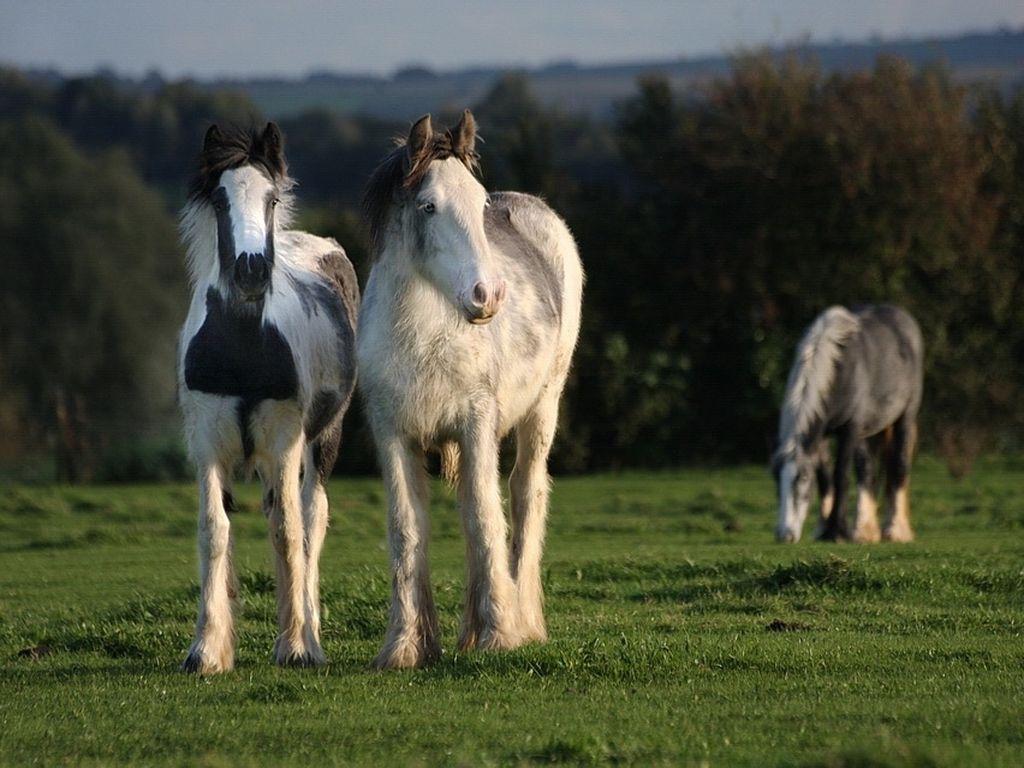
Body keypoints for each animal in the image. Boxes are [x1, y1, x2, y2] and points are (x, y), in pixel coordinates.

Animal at [179, 121, 360, 671]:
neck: (241, 348)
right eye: (219, 200)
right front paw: (206, 649)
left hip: (320, 441)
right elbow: (214, 529)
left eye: (273, 198)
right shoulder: (207, 442)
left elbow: (287, 531)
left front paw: (296, 645)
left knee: (310, 520)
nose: (251, 271)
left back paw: (312, 635)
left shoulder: (283, 439)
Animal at [358, 111, 585, 671]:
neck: (421, 335)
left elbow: (485, 519)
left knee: (525, 494)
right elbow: (406, 530)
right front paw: (405, 646)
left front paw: (499, 635)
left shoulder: (477, 421)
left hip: (542, 409)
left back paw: (524, 618)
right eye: (428, 206)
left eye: (480, 205)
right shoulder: (392, 433)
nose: (488, 295)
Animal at [770, 307, 925, 548]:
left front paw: (836, 531)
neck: (839, 370)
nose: (785, 535)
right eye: (776, 477)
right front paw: (824, 529)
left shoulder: (849, 429)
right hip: (868, 431)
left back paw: (895, 530)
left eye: (802, 478)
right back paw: (864, 530)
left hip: (904, 418)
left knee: (899, 465)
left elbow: (840, 476)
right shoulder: (823, 435)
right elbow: (825, 479)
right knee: (867, 470)